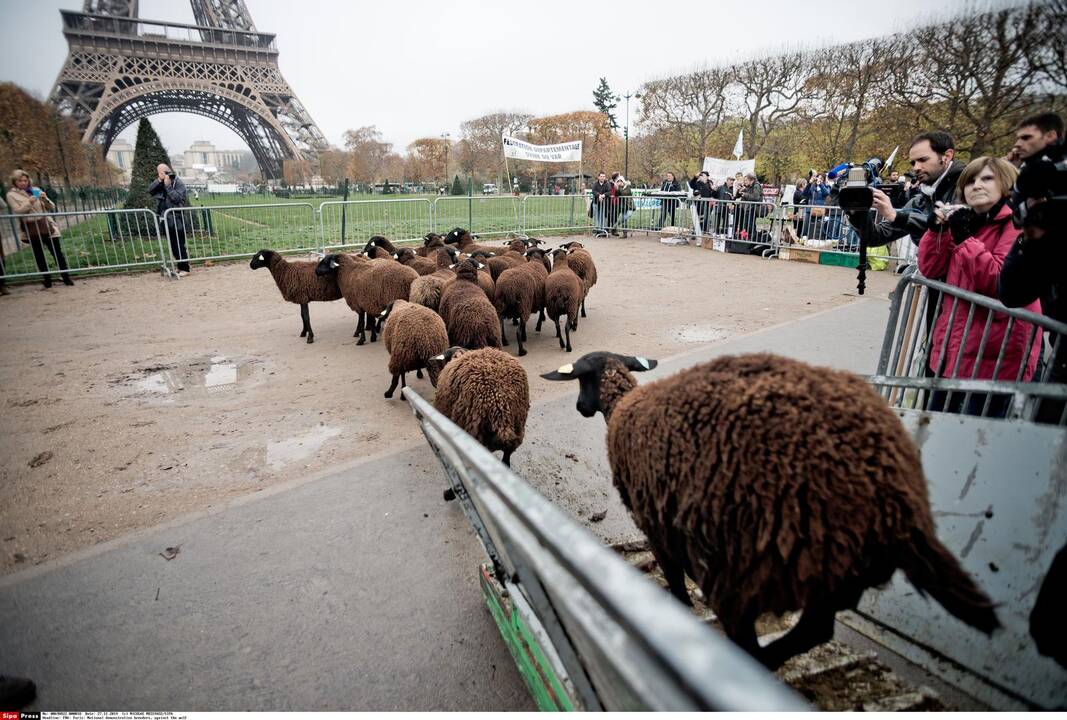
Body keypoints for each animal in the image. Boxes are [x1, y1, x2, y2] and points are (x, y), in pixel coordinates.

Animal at [542, 354, 998, 669]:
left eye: (580, 379)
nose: (581, 408)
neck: (622, 404)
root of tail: (895, 501)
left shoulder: (655, 524)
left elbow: (674, 581)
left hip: (751, 567)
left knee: (751, 632)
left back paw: (753, 662)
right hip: (835, 572)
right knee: (817, 629)